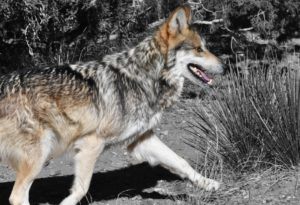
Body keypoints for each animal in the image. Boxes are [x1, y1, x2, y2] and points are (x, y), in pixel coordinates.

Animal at [0, 4, 223, 205]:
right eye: (200, 49)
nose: (224, 65)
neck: (143, 78)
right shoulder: (91, 143)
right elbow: (81, 189)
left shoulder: (141, 138)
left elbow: (181, 162)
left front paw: (209, 183)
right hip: (39, 155)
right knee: (17, 197)